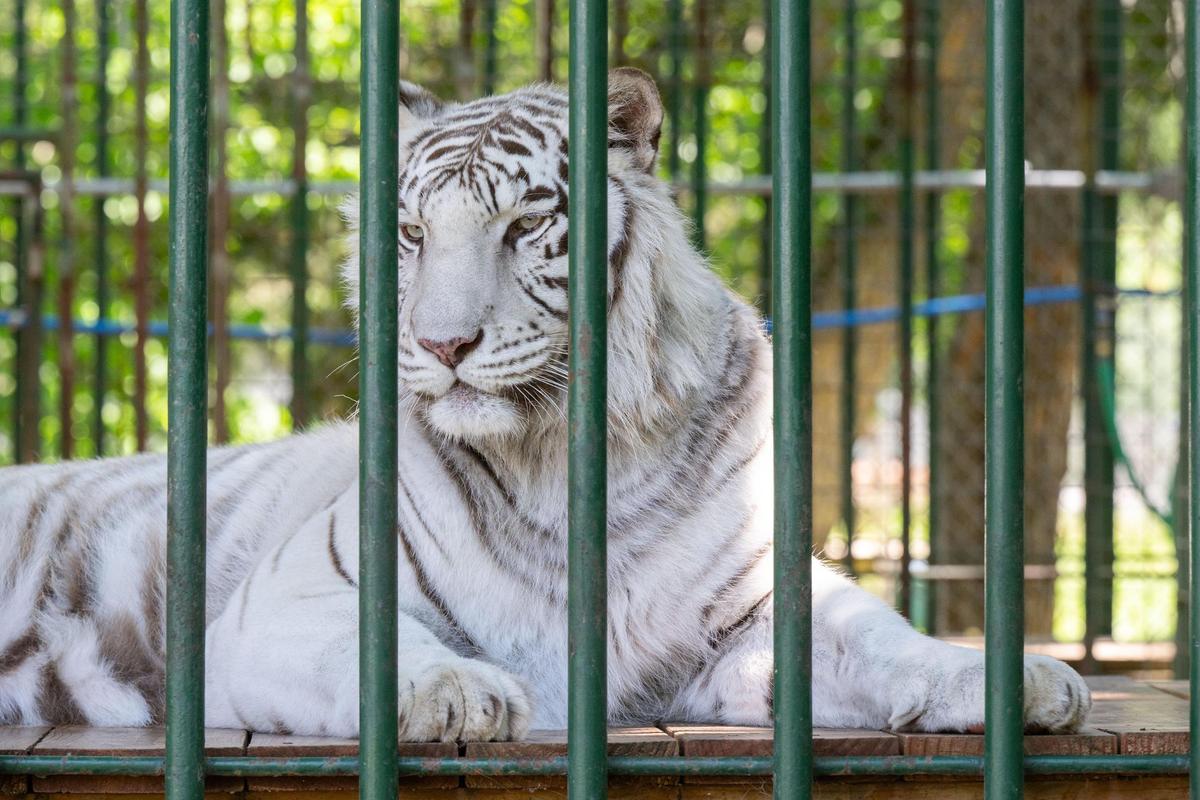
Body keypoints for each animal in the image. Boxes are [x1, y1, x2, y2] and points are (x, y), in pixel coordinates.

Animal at [0, 68, 1090, 741]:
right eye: (409, 233)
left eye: (524, 224)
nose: (443, 346)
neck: (566, 457)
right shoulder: (284, 602)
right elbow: (380, 642)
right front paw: (455, 692)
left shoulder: (751, 617)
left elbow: (877, 634)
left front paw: (1009, 679)